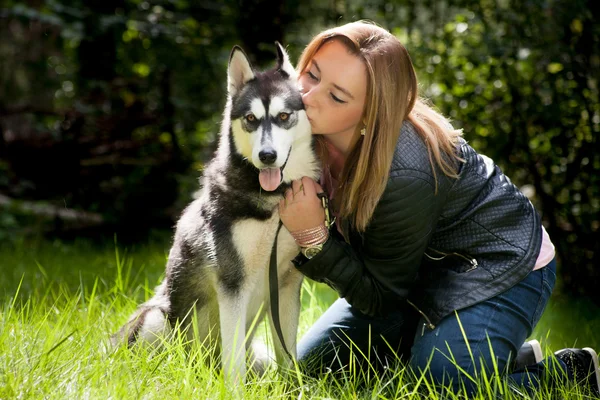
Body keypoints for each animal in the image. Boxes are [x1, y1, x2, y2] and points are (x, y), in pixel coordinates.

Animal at [112, 43, 318, 382]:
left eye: (284, 116)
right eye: (250, 118)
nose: (267, 156)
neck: (273, 202)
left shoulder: (287, 284)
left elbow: (288, 356)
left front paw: (293, 387)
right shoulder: (232, 283)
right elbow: (233, 359)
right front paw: (233, 389)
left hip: (259, 354)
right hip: (157, 320)